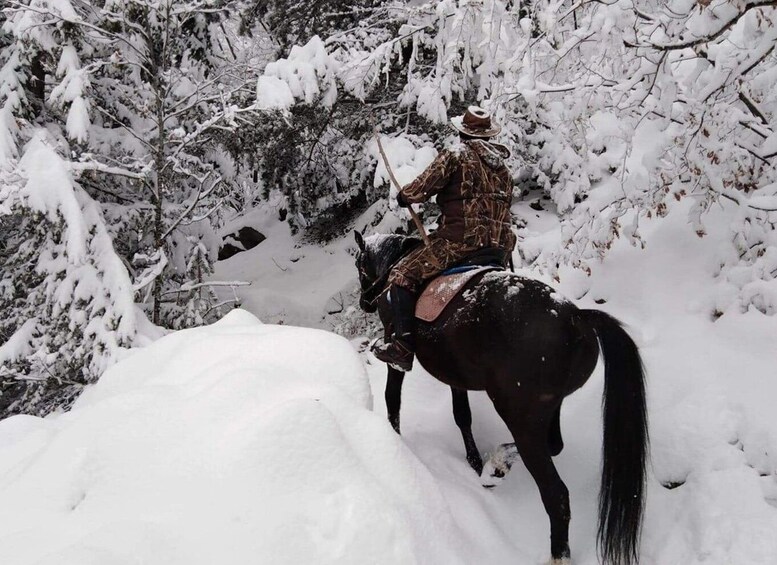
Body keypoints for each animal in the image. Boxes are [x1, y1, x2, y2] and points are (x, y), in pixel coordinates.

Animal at [354, 230, 644, 564]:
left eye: (359, 264)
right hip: (547, 407)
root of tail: (577, 318)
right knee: (554, 445)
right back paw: (496, 467)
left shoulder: (397, 355)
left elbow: (393, 398)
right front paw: (475, 462)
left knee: (556, 494)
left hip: (519, 415)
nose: (364, 302)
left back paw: (557, 553)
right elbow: (462, 416)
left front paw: (395, 440)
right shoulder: (456, 376)